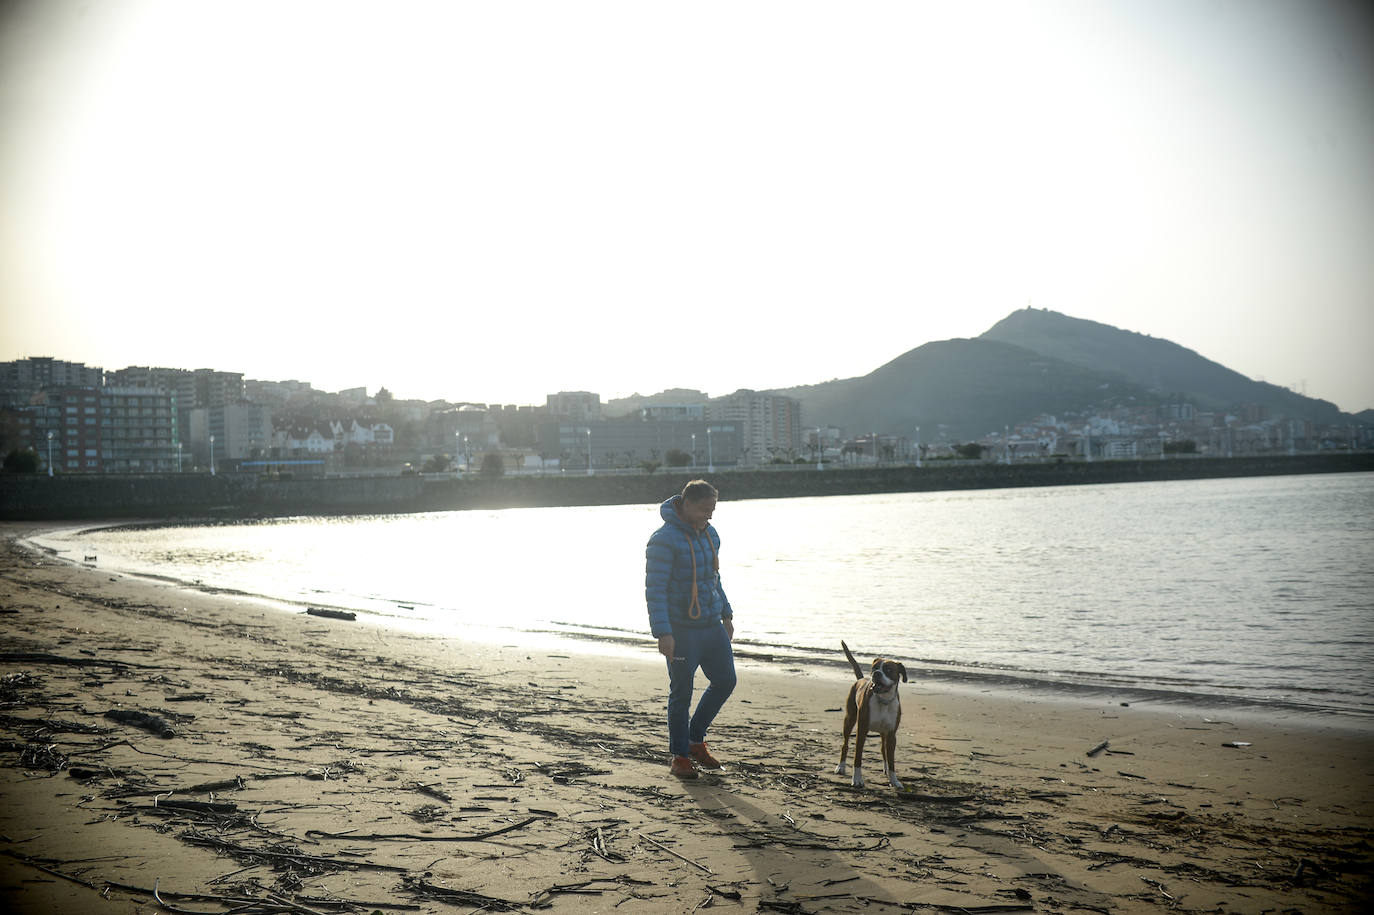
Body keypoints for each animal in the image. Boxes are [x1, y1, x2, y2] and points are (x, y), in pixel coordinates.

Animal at [829, 637, 906, 785]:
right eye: (874, 668)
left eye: (888, 670)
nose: (876, 673)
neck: (883, 700)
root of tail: (860, 679)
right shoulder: (862, 730)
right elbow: (857, 757)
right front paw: (857, 779)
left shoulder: (891, 735)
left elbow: (891, 760)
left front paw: (894, 780)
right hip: (849, 720)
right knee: (845, 745)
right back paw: (841, 767)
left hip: (883, 734)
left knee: (883, 751)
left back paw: (885, 769)